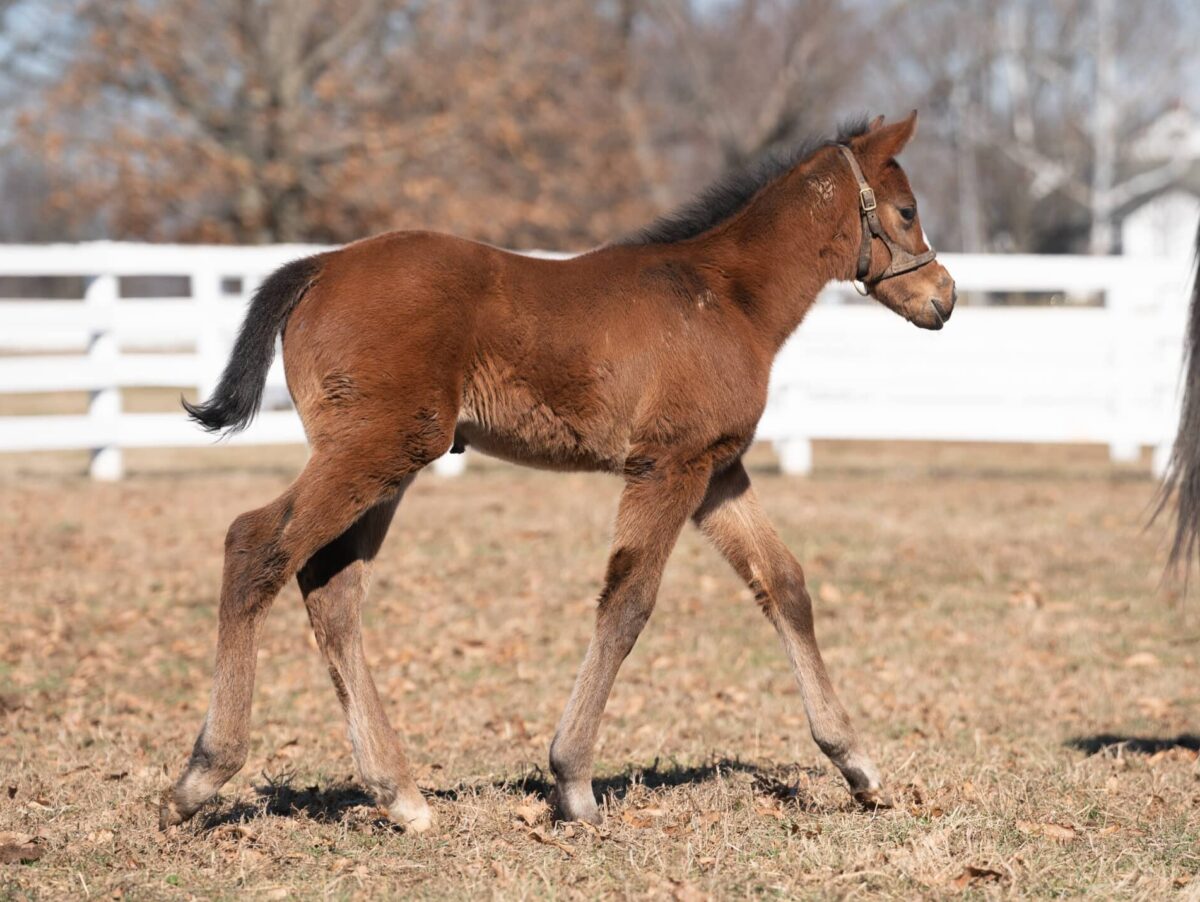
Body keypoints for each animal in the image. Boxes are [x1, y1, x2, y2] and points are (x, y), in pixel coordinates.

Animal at [164, 112, 955, 830]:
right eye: (907, 211)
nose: (943, 297)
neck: (726, 296)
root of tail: (320, 265)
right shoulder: (667, 464)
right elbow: (628, 602)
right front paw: (573, 782)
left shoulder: (718, 470)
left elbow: (783, 584)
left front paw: (857, 765)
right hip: (374, 451)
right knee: (256, 544)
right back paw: (203, 775)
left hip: (385, 463)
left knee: (331, 590)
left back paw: (401, 796)